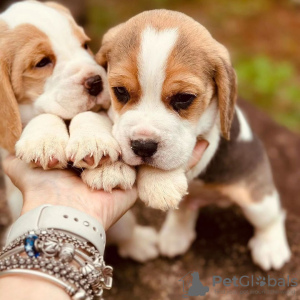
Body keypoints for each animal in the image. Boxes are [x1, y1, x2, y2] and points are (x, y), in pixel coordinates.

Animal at [94, 10, 290, 270]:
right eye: (120, 91)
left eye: (184, 98)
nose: (143, 146)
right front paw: (105, 165)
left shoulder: (210, 138)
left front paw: (160, 182)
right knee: (184, 211)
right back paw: (175, 236)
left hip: (258, 202)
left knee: (272, 217)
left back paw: (271, 247)